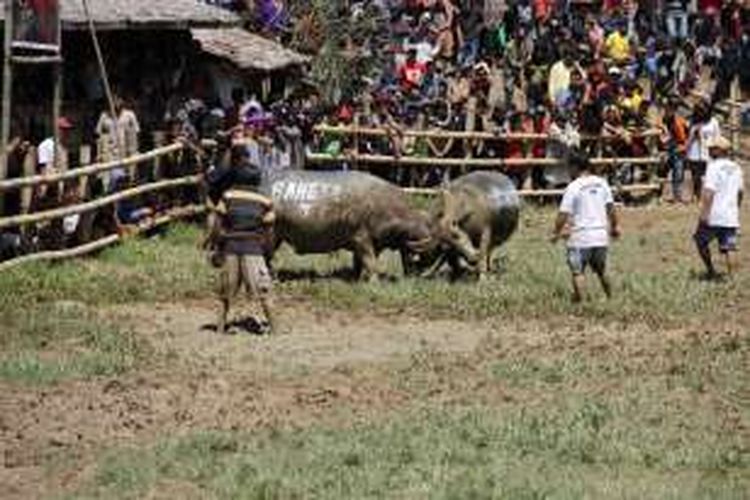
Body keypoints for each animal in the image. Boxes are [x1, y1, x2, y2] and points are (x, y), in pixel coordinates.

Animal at [262, 170, 478, 282]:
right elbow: (371, 263)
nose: (474, 257)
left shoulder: (373, 244)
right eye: (447, 243)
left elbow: (360, 265)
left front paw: (358, 279)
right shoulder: (361, 240)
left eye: (461, 234)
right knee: (268, 258)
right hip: (270, 236)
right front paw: (374, 282)